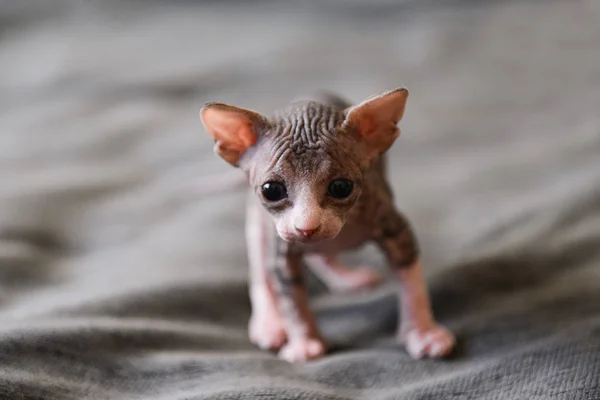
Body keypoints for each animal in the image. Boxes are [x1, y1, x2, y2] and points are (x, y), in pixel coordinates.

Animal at [198, 87, 454, 362]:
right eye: (271, 190)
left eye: (341, 187)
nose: (306, 227)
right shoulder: (284, 251)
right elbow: (291, 300)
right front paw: (304, 343)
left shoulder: (393, 226)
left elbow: (412, 283)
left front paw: (424, 332)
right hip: (260, 224)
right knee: (262, 267)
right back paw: (269, 324)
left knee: (319, 256)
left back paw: (345, 278)